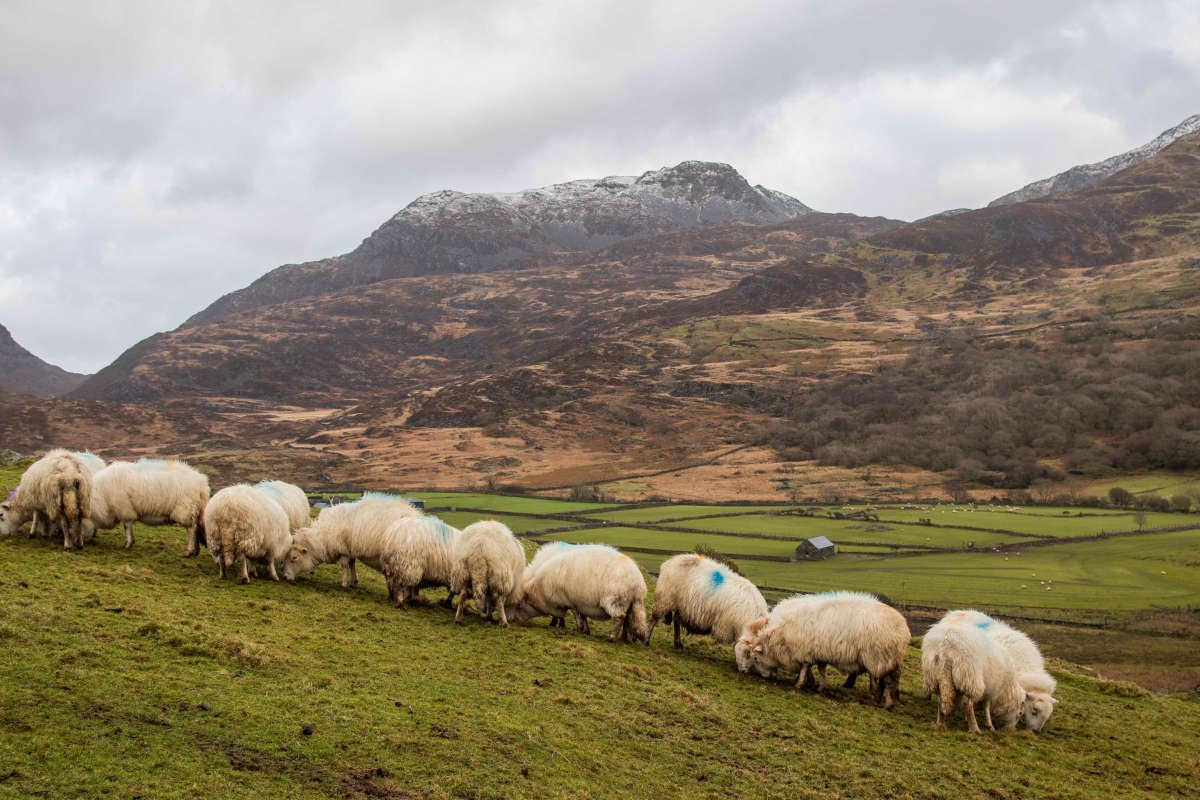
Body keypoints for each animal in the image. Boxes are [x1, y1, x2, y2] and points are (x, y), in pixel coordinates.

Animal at [280, 494, 422, 587]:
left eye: (294, 558)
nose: (285, 577)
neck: (324, 536)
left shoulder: (342, 549)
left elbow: (344, 565)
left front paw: (344, 583)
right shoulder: (350, 549)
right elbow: (352, 564)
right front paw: (354, 581)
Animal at [511, 542, 652, 642]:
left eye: (519, 605)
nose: (515, 620)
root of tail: (638, 585)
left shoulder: (570, 601)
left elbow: (576, 615)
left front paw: (577, 628)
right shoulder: (581, 601)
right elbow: (582, 616)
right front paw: (585, 630)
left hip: (615, 600)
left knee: (620, 617)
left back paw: (612, 637)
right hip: (629, 603)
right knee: (628, 619)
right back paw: (624, 638)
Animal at [734, 587, 912, 705]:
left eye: (754, 657)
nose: (742, 672)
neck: (781, 635)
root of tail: (904, 629)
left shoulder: (804, 651)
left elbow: (805, 668)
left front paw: (799, 684)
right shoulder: (818, 652)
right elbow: (820, 669)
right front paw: (818, 685)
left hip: (881, 657)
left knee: (889, 681)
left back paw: (887, 703)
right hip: (884, 660)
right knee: (882, 680)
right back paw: (878, 698)